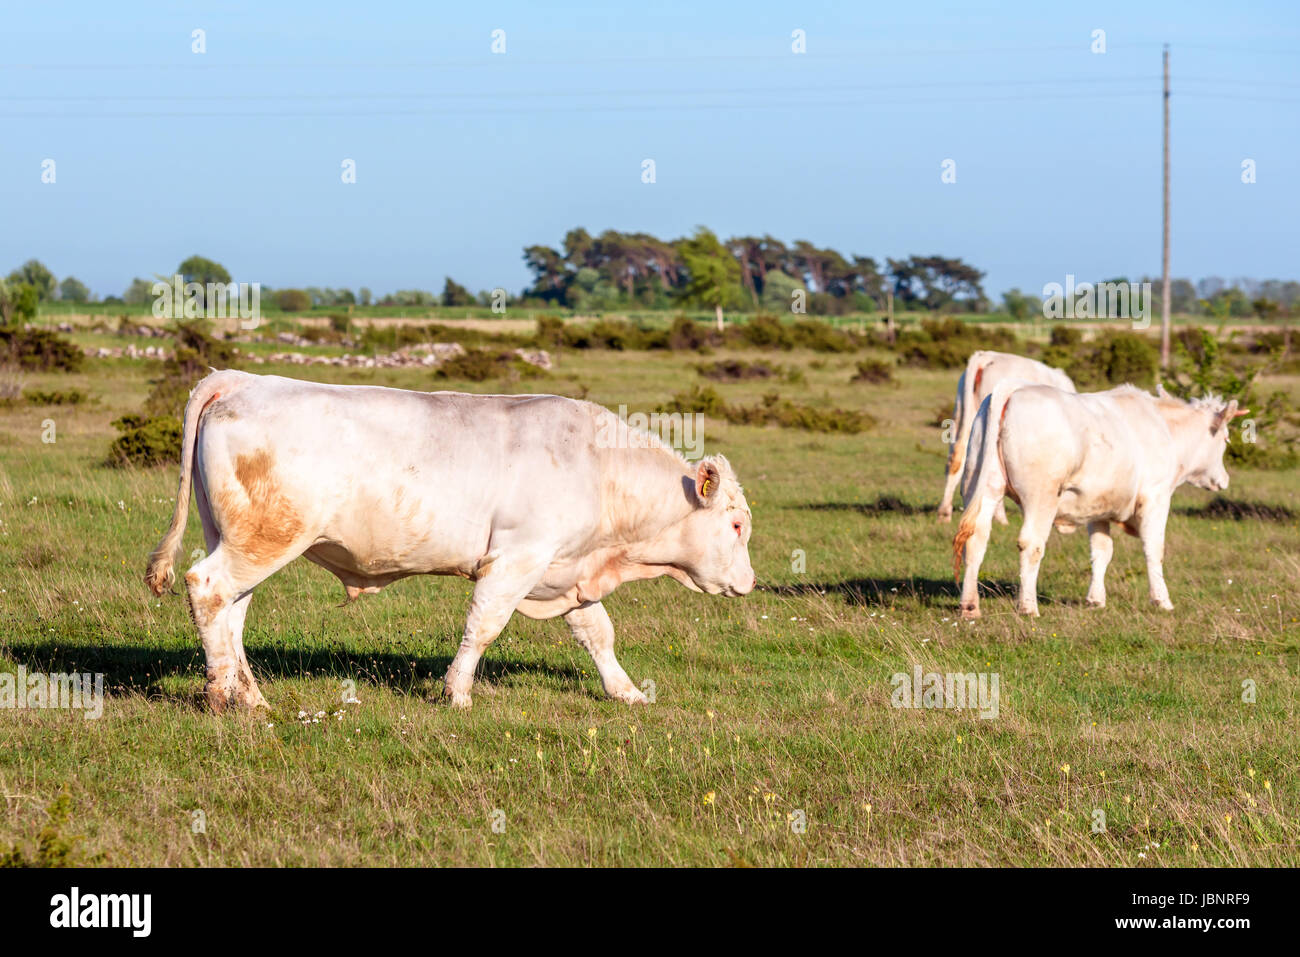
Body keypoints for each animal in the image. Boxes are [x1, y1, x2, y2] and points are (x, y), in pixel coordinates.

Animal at [147, 371, 759, 712]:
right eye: (736, 525)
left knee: (231, 613)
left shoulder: (564, 569)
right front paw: (457, 692)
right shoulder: (516, 559)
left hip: (244, 537)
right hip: (267, 537)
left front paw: (626, 691)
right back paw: (221, 696)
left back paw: (249, 696)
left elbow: (597, 634)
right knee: (208, 588)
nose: (751, 582)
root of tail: (242, 379)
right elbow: (484, 625)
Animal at [951, 382, 1242, 621]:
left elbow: (1102, 551)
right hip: (1042, 496)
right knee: (1031, 544)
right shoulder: (1157, 498)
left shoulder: (1097, 508)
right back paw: (1028, 607)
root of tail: (1012, 389)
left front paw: (1095, 599)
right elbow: (1154, 549)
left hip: (983, 486)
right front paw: (1162, 600)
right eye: (1226, 438)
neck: (1164, 428)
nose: (1225, 479)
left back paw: (970, 606)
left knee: (976, 538)